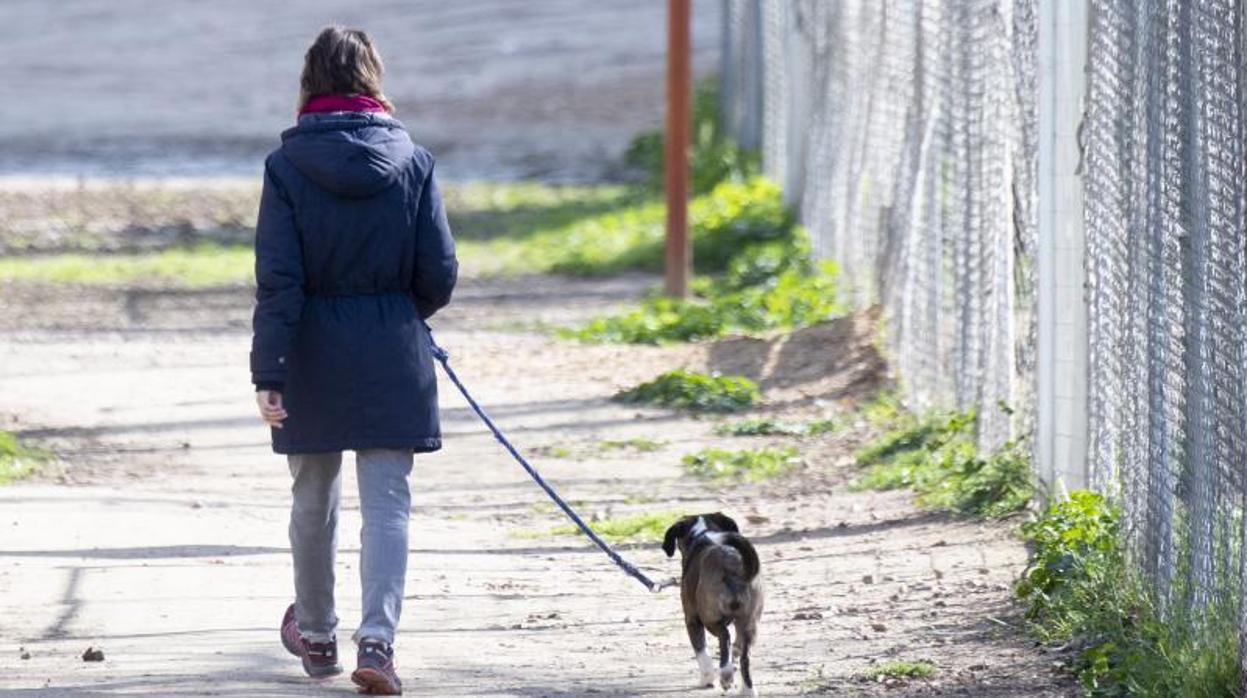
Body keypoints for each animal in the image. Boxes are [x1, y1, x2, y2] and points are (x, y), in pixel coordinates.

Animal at [663, 511, 758, 693]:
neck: (702, 533)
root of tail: (730, 564)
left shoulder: (692, 619)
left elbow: (701, 651)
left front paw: (707, 679)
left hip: (710, 618)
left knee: (724, 636)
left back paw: (725, 674)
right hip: (749, 623)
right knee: (745, 656)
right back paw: (747, 690)